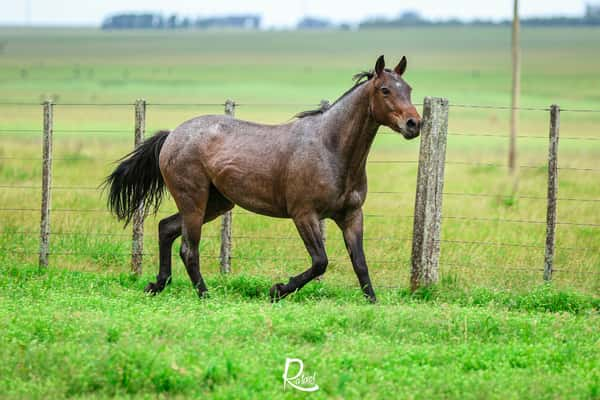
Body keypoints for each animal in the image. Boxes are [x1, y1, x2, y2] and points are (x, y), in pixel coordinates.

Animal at [104, 54, 422, 302]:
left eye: (408, 88)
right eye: (384, 90)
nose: (414, 124)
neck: (330, 149)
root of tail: (172, 136)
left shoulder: (351, 216)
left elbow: (360, 263)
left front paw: (373, 303)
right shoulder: (304, 215)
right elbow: (320, 262)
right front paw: (277, 289)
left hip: (217, 204)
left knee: (166, 228)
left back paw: (157, 284)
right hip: (194, 200)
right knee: (188, 249)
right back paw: (205, 295)